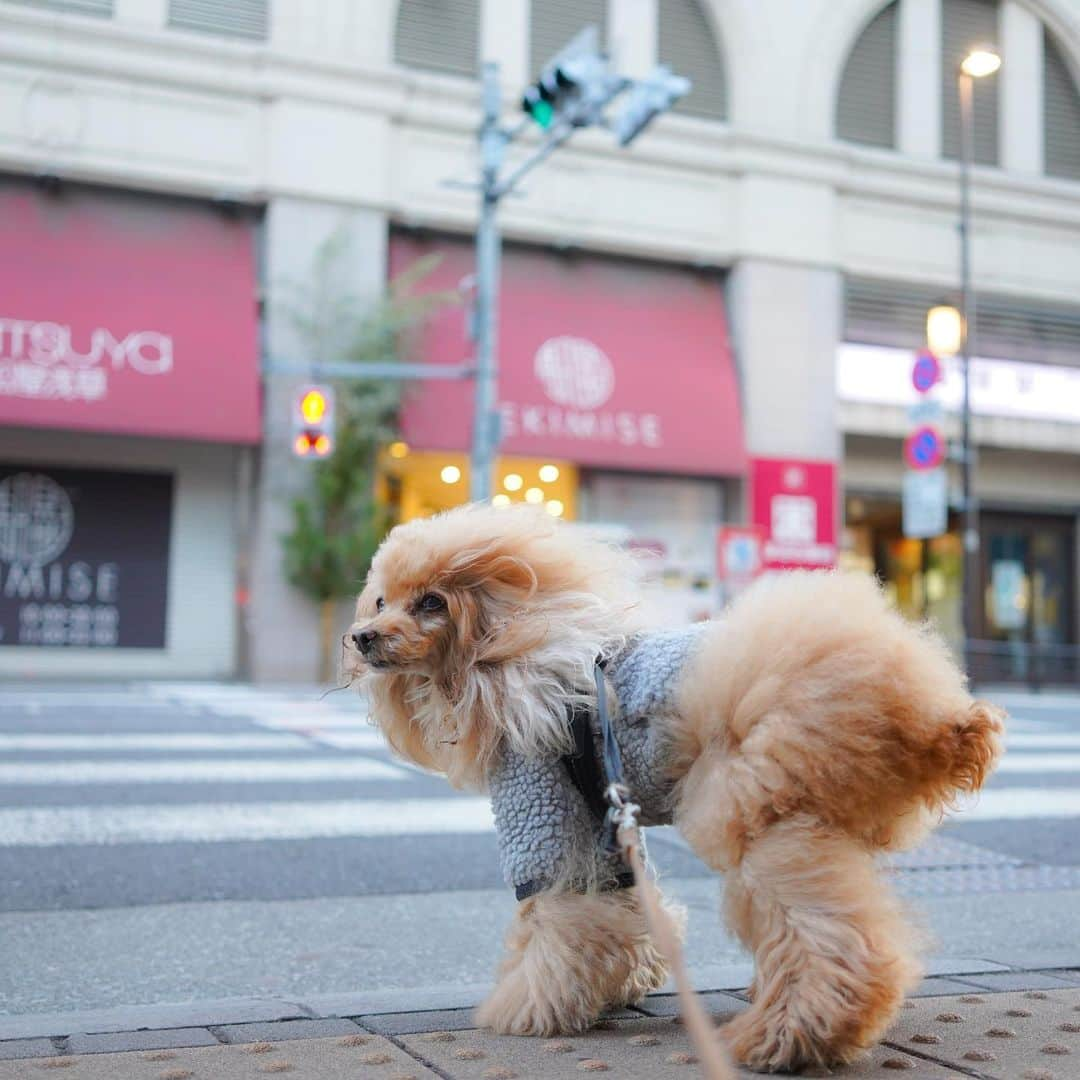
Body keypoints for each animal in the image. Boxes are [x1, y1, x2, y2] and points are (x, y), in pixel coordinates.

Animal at [345, 503, 1002, 1071]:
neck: (509, 654)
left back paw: (793, 1035)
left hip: (756, 805)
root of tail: (929, 713)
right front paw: (623, 980)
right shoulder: (604, 826)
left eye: (431, 602)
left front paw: (526, 1007)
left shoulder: (545, 809)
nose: (362, 636)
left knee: (830, 940)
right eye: (381, 600)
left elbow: (550, 915)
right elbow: (617, 907)